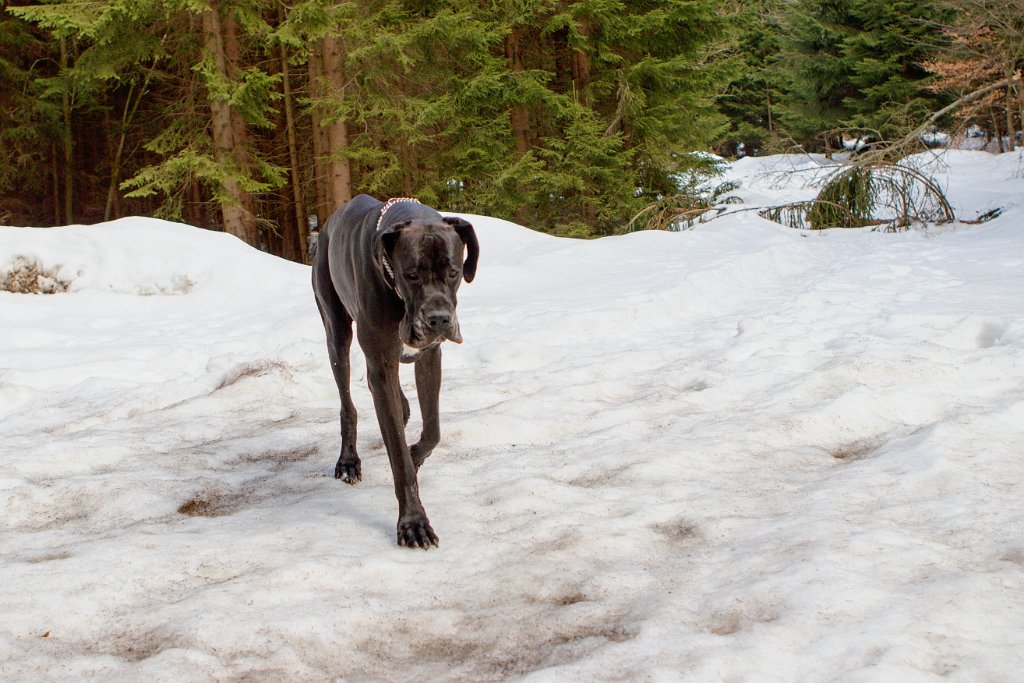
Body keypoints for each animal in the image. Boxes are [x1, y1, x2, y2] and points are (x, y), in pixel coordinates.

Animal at [309, 194, 477, 548]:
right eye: (411, 274)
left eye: (454, 272)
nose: (438, 319)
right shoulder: (382, 363)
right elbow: (398, 460)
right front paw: (413, 523)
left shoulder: (429, 356)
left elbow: (433, 430)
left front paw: (415, 454)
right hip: (336, 332)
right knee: (347, 402)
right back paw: (348, 461)